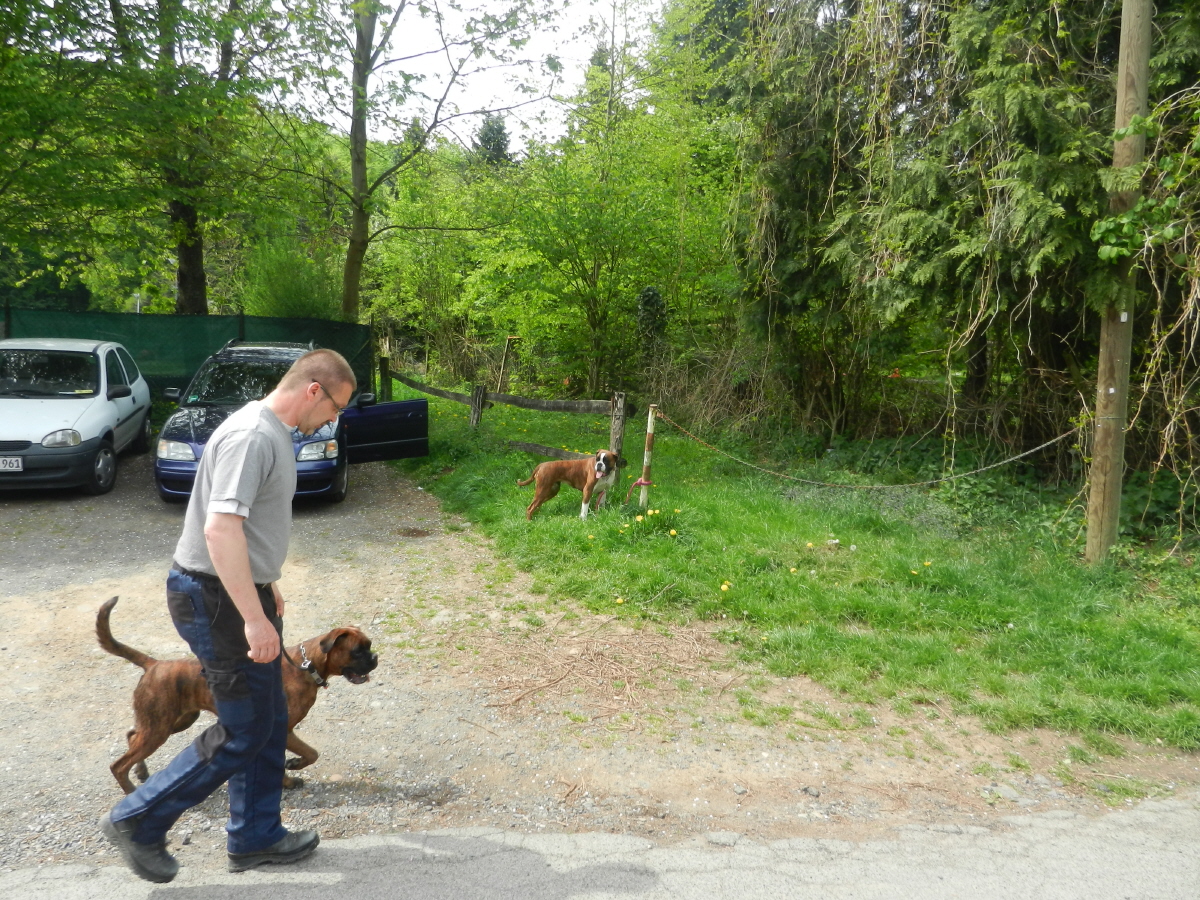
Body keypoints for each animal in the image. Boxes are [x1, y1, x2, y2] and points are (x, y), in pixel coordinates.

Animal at [97, 596, 378, 792]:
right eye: (357, 651)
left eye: (370, 646)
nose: (375, 658)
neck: (307, 666)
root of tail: (154, 664)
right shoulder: (283, 731)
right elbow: (309, 753)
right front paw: (291, 772)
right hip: (160, 727)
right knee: (118, 764)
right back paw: (130, 791)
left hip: (172, 721)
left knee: (132, 735)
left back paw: (141, 771)